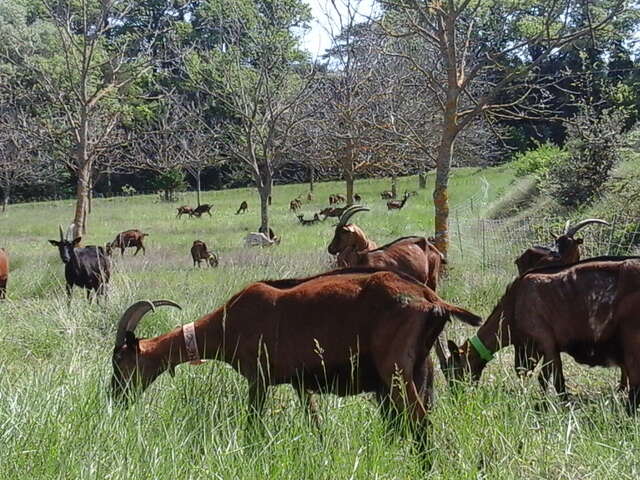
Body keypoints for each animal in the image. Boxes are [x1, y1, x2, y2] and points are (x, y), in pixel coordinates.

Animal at [110, 270, 480, 454]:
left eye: (119, 360)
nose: (115, 398)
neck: (228, 321)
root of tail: (429, 299)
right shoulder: (302, 383)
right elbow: (315, 425)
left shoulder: (259, 379)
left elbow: (252, 424)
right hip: (420, 370)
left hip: (396, 370)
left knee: (419, 421)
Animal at [444, 256, 640, 414]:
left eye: (454, 370)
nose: (455, 396)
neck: (514, 305)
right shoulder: (540, 348)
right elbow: (549, 378)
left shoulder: (545, 341)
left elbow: (551, 379)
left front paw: (556, 406)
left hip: (632, 337)